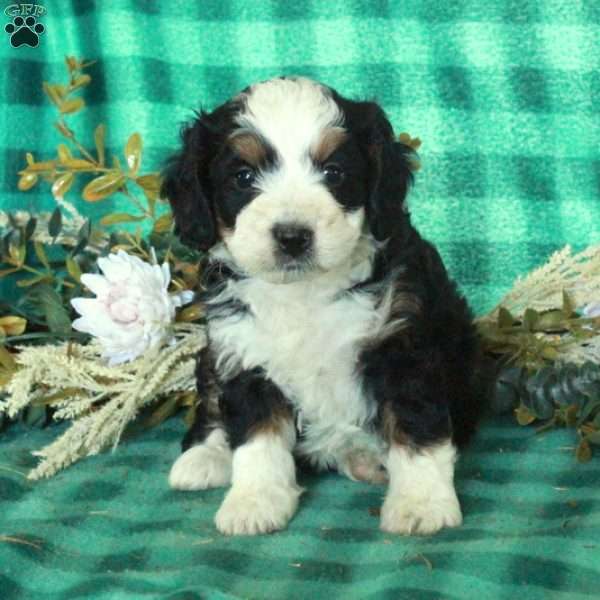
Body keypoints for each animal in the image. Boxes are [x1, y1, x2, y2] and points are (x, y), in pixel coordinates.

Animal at [161, 77, 482, 536]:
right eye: (243, 176)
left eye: (334, 172)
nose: (292, 236)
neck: (303, 292)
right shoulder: (243, 351)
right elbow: (255, 435)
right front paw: (255, 501)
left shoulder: (403, 342)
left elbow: (415, 424)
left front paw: (421, 503)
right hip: (211, 355)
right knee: (211, 404)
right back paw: (204, 457)